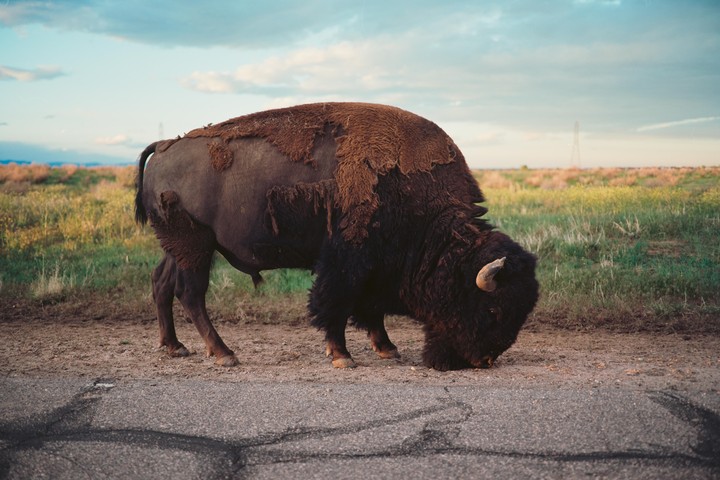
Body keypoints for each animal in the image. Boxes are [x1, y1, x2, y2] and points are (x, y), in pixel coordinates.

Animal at [135, 102, 538, 370]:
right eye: (492, 309)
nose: (482, 360)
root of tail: (165, 145)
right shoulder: (347, 261)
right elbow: (336, 304)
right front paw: (343, 356)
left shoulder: (373, 268)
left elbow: (369, 310)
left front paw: (386, 348)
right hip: (196, 247)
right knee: (191, 293)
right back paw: (224, 354)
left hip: (177, 247)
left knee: (161, 283)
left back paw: (174, 346)